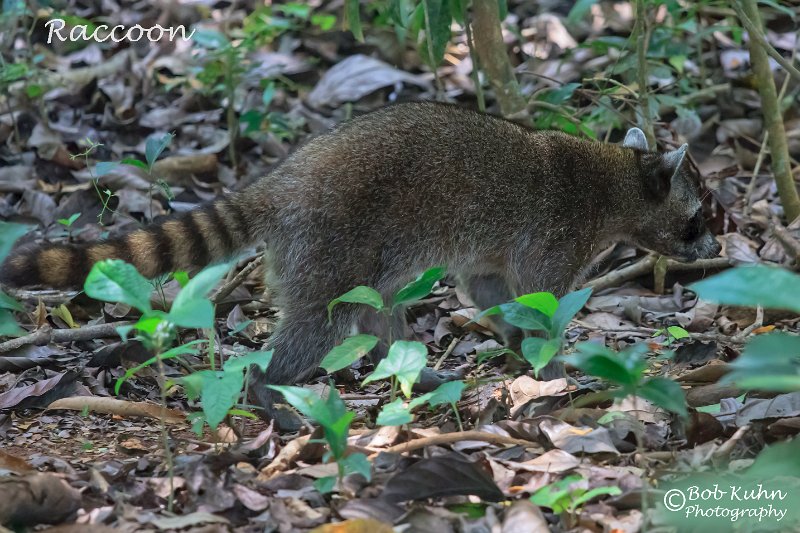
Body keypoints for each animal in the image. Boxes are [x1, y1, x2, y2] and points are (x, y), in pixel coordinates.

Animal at [0, 102, 720, 427]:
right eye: (700, 218)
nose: (718, 250)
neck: (619, 176)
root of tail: (284, 182)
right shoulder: (557, 230)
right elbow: (540, 297)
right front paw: (552, 362)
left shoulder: (498, 253)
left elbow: (489, 287)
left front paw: (519, 348)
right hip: (329, 241)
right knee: (321, 323)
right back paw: (270, 389)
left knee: (381, 313)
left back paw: (414, 371)